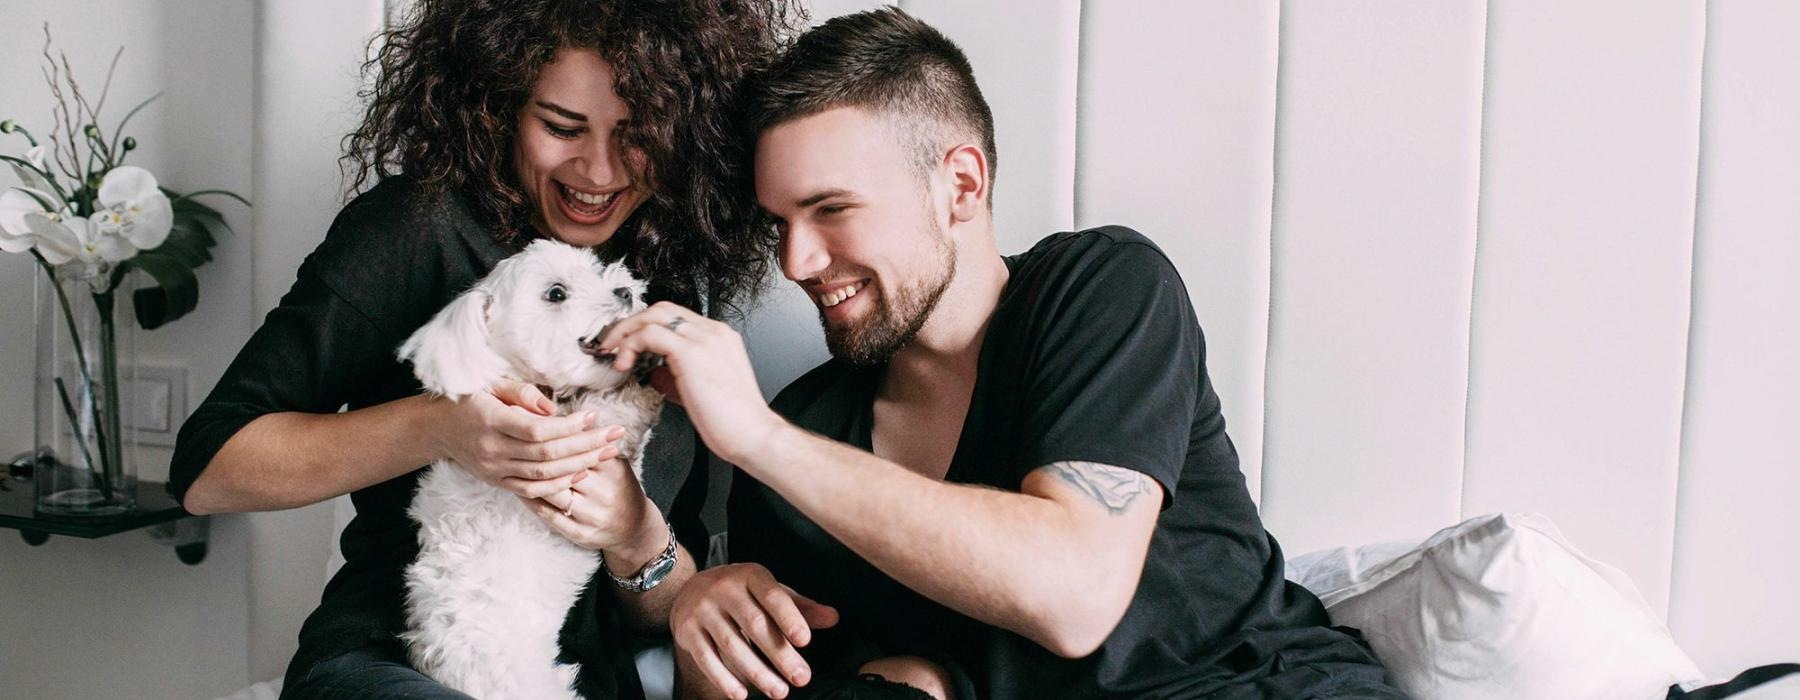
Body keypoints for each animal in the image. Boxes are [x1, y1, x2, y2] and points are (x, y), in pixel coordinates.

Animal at [397, 239, 666, 698]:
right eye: (556, 293)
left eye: (594, 270)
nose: (625, 291)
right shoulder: (586, 437)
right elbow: (618, 412)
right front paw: (642, 379)